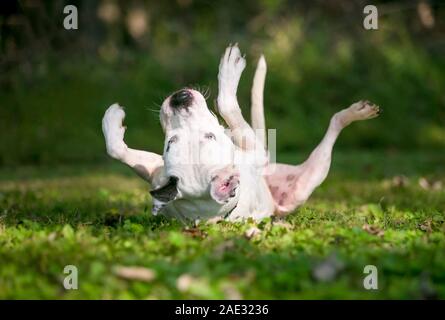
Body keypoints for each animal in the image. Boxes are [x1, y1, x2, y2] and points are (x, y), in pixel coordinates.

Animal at [101, 43, 378, 221]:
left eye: (170, 142)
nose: (180, 99)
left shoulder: (156, 174)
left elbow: (117, 150)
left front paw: (111, 120)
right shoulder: (255, 151)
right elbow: (226, 104)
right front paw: (230, 71)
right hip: (309, 178)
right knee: (333, 126)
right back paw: (355, 113)